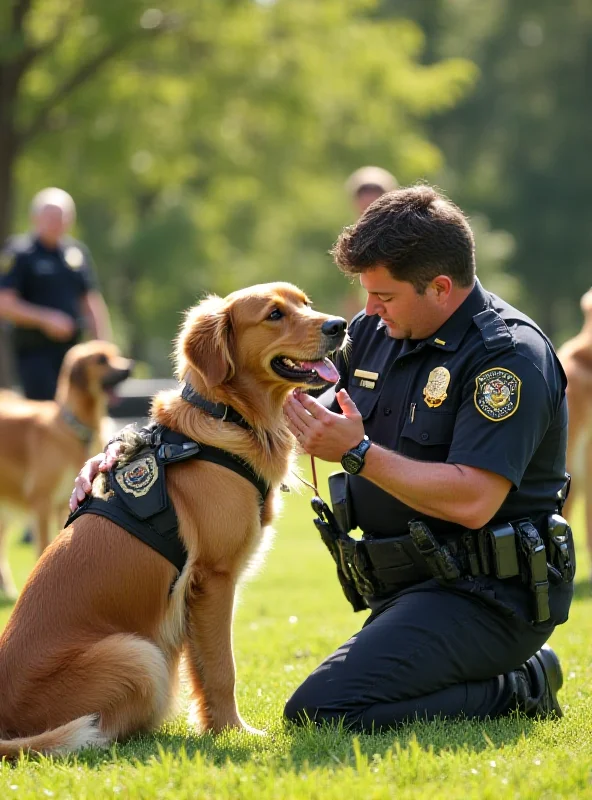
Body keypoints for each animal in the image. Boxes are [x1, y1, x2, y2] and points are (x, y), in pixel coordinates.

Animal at [0, 340, 132, 596]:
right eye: (101, 360)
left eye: (117, 354)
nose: (129, 367)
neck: (76, 428)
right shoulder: (42, 502)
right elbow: (43, 544)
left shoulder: (63, 504)